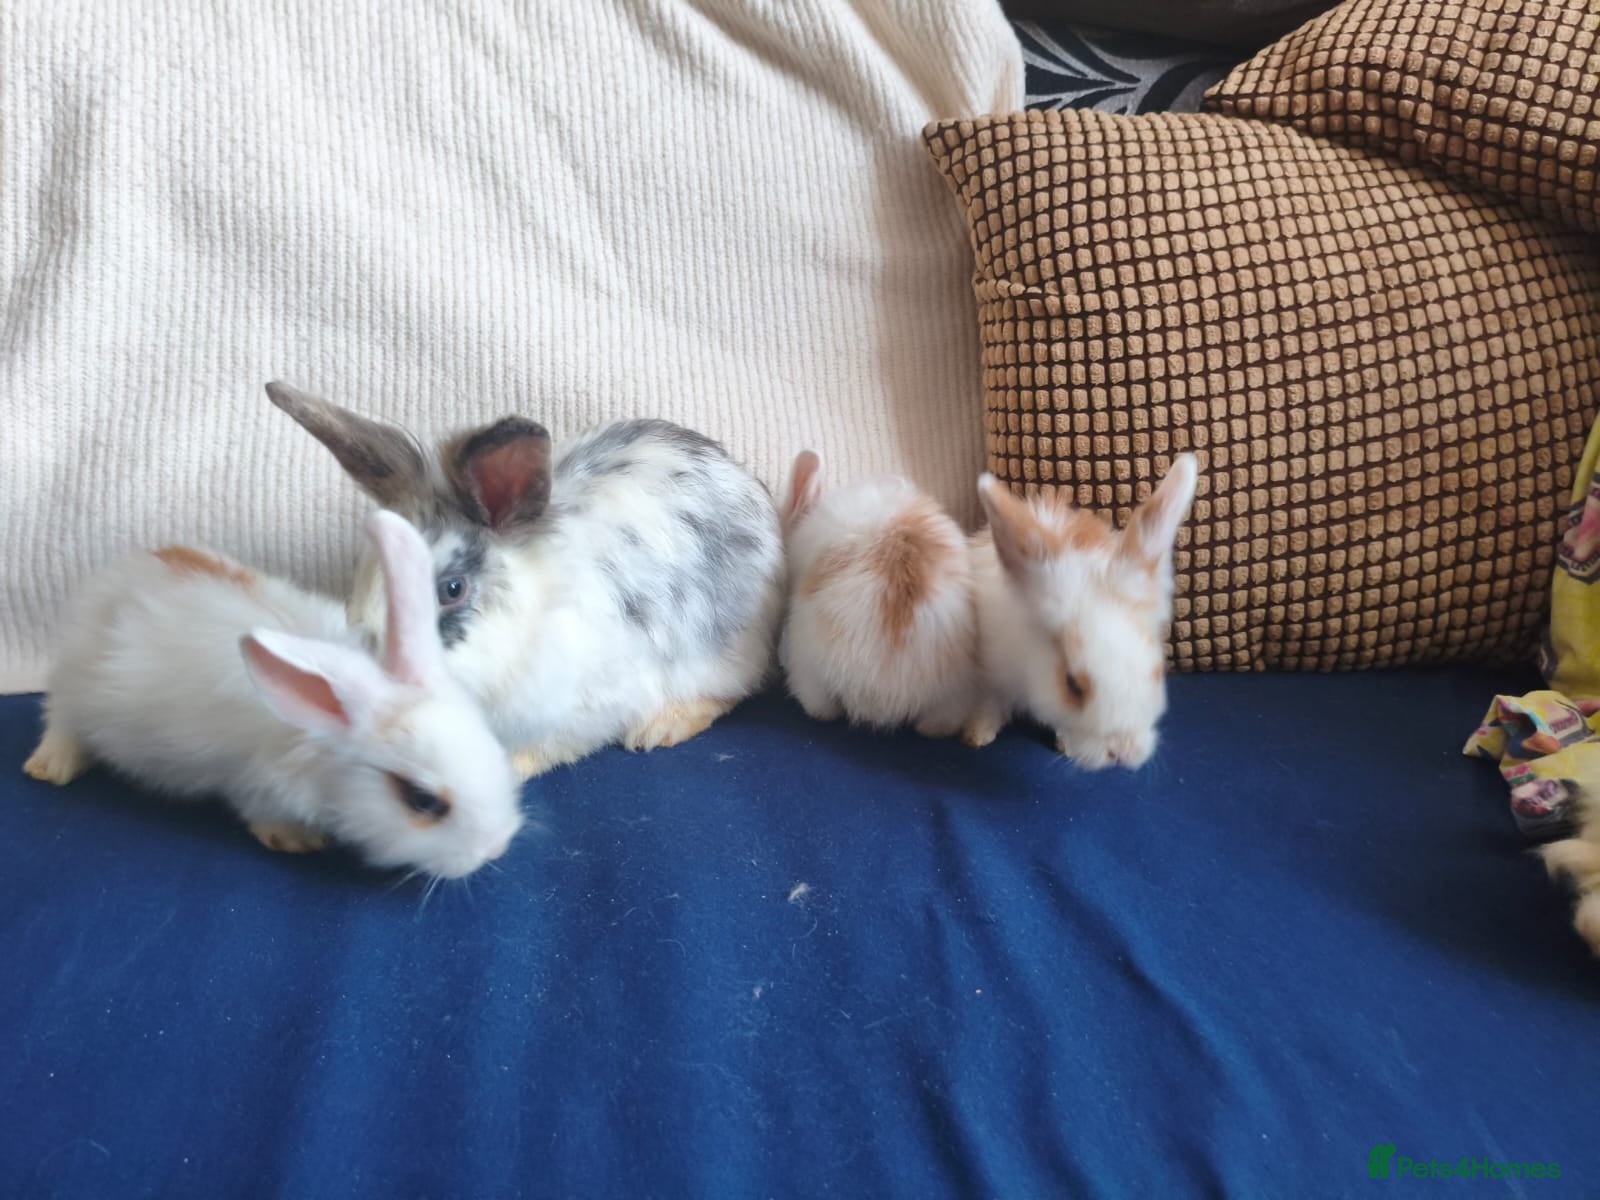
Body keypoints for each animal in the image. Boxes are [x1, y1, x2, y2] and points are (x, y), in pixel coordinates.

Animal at [22, 510, 524, 879]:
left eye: (493, 746)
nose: (495, 847)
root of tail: (124, 570)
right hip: (76, 684)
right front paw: (297, 840)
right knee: (60, 716)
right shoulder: (254, 781)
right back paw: (52, 766)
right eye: (422, 801)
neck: (320, 740)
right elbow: (261, 812)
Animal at [962, 454, 1199, 770]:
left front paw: (1066, 744)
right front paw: (977, 733)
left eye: (1157, 672)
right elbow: (990, 699)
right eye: (1072, 684)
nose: (1122, 752)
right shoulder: (990, 665)